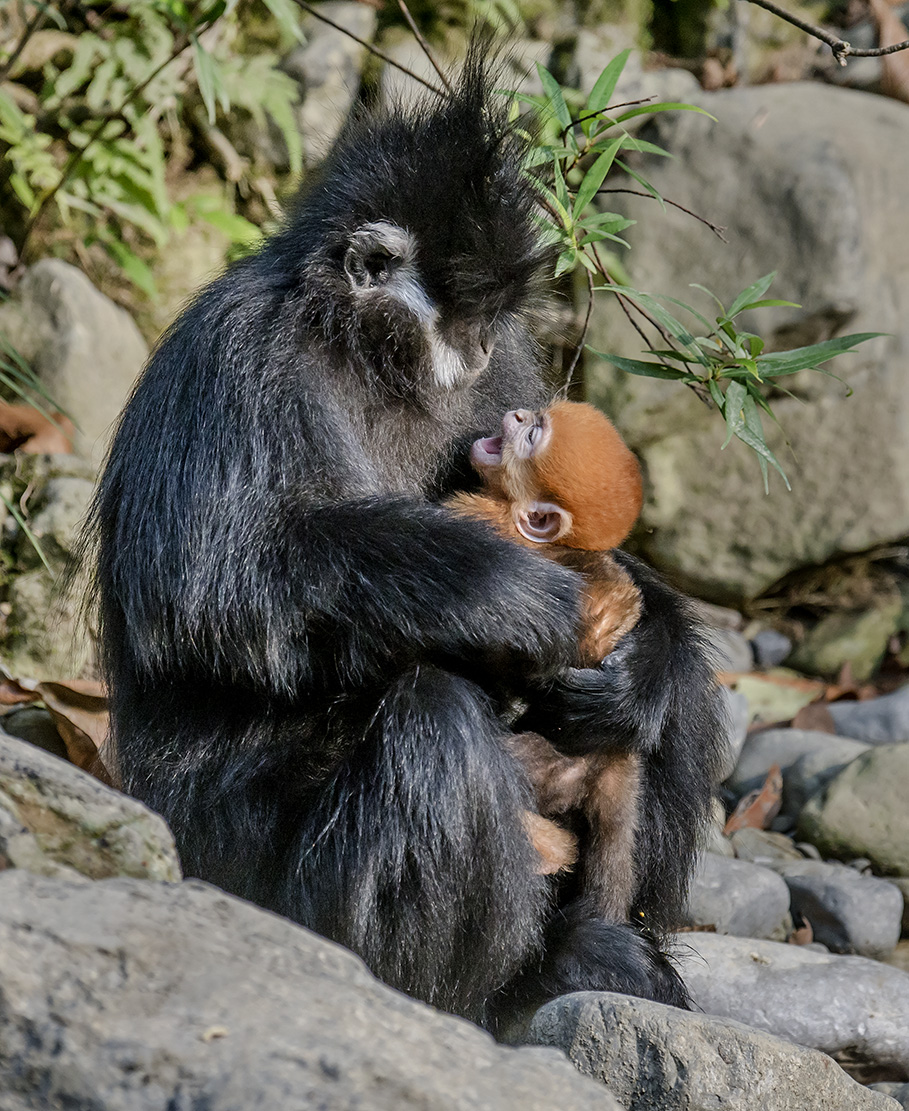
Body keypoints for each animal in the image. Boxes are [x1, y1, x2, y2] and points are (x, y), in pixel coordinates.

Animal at [446, 399, 644, 919]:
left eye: (533, 436)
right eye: (534, 418)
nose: (517, 415)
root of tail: (612, 759)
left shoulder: (478, 516)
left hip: (550, 764)